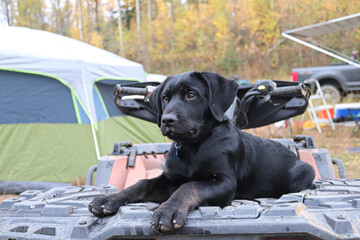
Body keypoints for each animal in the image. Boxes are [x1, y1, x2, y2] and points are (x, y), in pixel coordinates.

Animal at [88, 71, 316, 232]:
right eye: (165, 98)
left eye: (191, 95)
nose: (167, 120)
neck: (192, 147)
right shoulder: (170, 179)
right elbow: (142, 183)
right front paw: (109, 199)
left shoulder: (224, 182)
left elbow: (190, 186)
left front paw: (168, 211)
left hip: (305, 172)